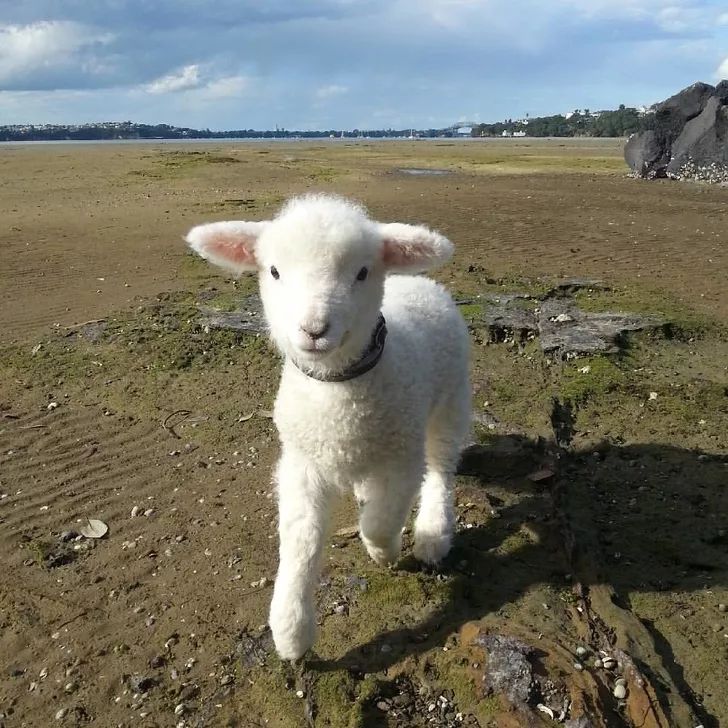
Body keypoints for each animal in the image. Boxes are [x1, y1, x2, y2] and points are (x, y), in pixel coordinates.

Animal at [188, 196, 470, 664]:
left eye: (361, 272)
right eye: (274, 271)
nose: (314, 330)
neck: (337, 388)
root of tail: (422, 283)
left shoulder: (402, 455)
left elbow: (381, 521)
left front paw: (383, 551)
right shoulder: (301, 464)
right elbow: (300, 540)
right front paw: (291, 629)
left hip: (451, 401)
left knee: (441, 468)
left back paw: (433, 532)